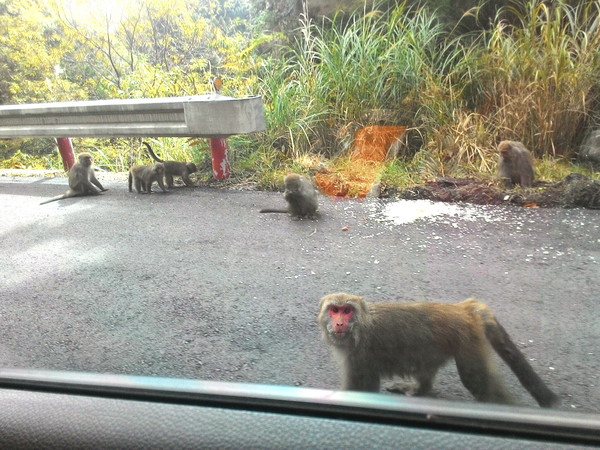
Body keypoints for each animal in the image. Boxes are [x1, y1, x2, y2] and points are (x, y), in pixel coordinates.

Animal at [318, 292, 556, 408]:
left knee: (476, 381)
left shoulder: (360, 356)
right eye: (334, 310)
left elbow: (361, 389)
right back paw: (420, 388)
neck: (361, 326)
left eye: (347, 311)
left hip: (468, 340)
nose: (339, 323)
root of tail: (462, 309)